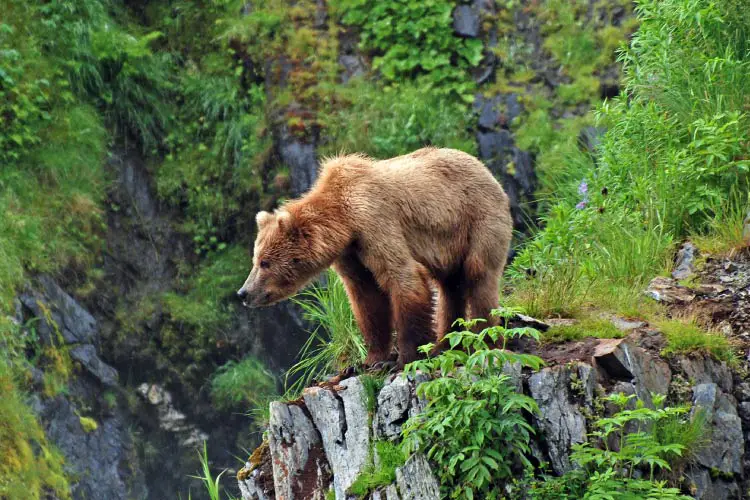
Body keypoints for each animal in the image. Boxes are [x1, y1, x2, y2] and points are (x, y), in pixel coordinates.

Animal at [238, 146, 516, 366]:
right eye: (256, 260)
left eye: (264, 262)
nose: (243, 293)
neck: (344, 222)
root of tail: (486, 170)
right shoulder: (352, 253)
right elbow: (367, 298)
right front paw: (372, 359)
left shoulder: (374, 221)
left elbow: (403, 278)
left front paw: (406, 357)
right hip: (450, 245)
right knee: (450, 286)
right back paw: (445, 342)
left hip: (477, 219)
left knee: (478, 275)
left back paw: (486, 338)